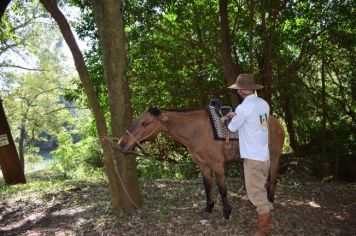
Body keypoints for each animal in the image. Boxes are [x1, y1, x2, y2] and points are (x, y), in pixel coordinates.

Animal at [118, 107, 286, 219]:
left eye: (145, 123)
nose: (121, 143)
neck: (196, 131)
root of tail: (278, 124)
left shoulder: (217, 165)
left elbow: (222, 189)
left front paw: (226, 212)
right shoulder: (202, 165)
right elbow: (207, 186)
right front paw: (208, 208)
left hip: (274, 156)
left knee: (273, 179)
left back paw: (269, 203)